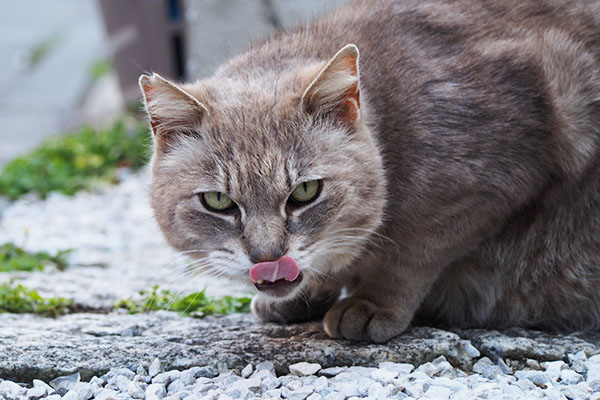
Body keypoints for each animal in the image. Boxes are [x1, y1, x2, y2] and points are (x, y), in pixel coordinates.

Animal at [139, 0, 600, 344]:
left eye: (305, 192)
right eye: (218, 201)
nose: (268, 258)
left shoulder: (500, 166)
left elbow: (416, 246)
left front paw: (372, 302)